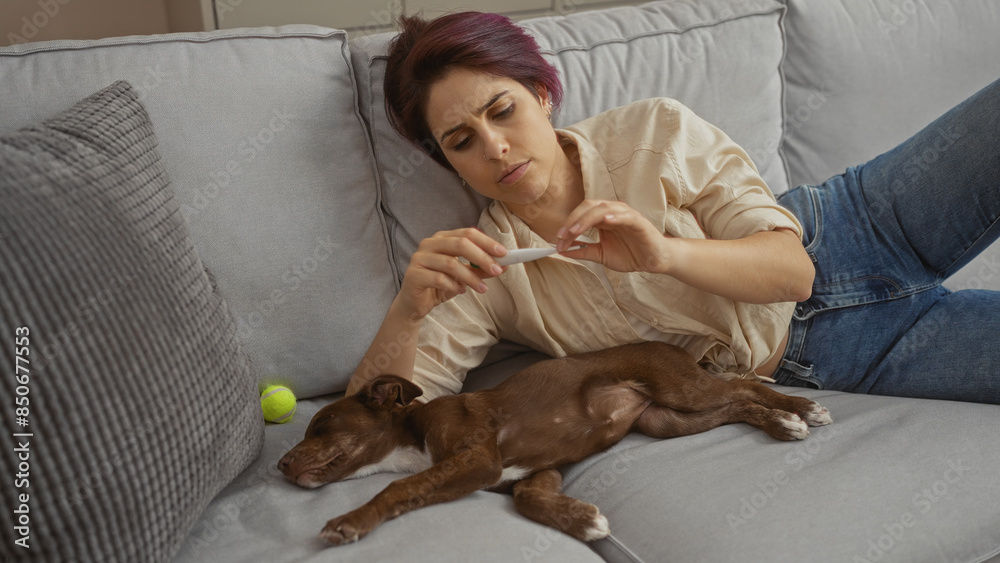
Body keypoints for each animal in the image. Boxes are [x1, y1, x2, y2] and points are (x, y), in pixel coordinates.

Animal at [278, 340, 832, 548]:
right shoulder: (528, 472)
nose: (279, 465)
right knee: (736, 406)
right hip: (666, 421)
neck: (411, 438)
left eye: (322, 424)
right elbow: (528, 497)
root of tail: (678, 347)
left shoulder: (478, 459)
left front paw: (350, 521)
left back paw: (799, 409)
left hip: (681, 390)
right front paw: (582, 520)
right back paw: (783, 422)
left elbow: (398, 489)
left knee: (744, 387)